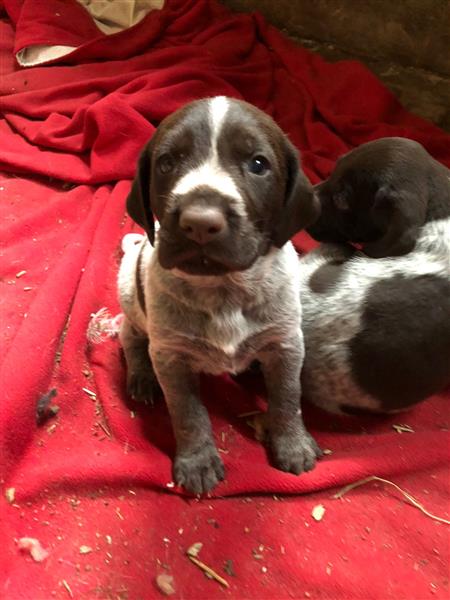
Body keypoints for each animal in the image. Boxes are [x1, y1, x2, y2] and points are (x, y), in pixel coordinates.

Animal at [116, 97, 320, 492]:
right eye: (167, 162)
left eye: (258, 164)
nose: (199, 223)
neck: (223, 289)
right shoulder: (171, 355)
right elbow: (187, 412)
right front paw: (197, 462)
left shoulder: (286, 343)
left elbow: (288, 397)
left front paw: (292, 444)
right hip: (129, 294)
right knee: (129, 336)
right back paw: (141, 376)